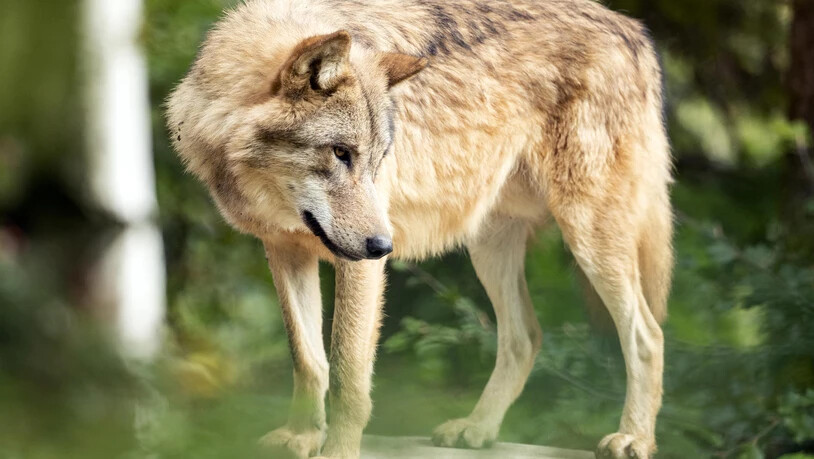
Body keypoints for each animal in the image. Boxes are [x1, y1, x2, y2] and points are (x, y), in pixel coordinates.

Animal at [167, 0, 673, 457]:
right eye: (340, 153)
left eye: (376, 160)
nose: (383, 244)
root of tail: (634, 31)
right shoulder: (284, 250)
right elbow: (309, 360)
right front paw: (302, 438)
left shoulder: (360, 266)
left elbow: (348, 375)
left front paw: (337, 451)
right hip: (489, 247)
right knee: (525, 336)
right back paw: (477, 429)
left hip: (589, 239)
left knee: (647, 334)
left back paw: (633, 439)